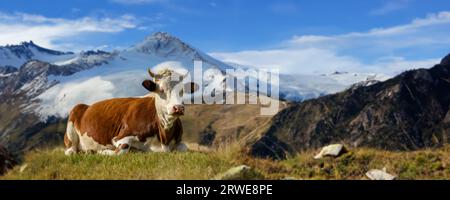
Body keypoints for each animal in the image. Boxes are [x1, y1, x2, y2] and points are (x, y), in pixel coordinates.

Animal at [63, 68, 199, 155]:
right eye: (161, 89)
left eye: (182, 91)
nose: (178, 108)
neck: (164, 137)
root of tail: (87, 105)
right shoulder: (120, 137)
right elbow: (120, 151)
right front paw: (101, 151)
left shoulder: (179, 141)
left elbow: (184, 148)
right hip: (72, 124)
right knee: (70, 151)